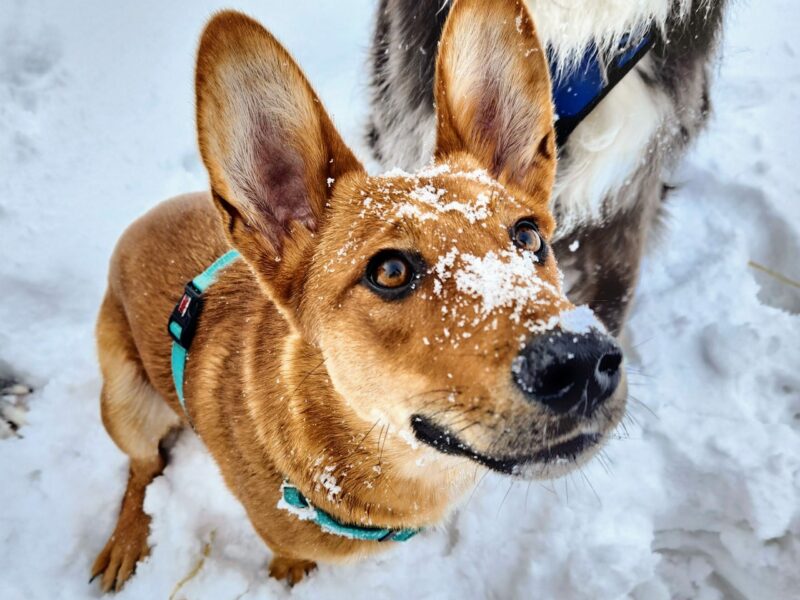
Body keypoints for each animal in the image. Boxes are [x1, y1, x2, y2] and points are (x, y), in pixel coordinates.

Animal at [89, 0, 624, 592]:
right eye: (389, 271)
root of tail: (137, 226)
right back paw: (127, 539)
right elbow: (284, 552)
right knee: (142, 470)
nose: (581, 360)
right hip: (125, 401)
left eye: (528, 236)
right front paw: (291, 573)